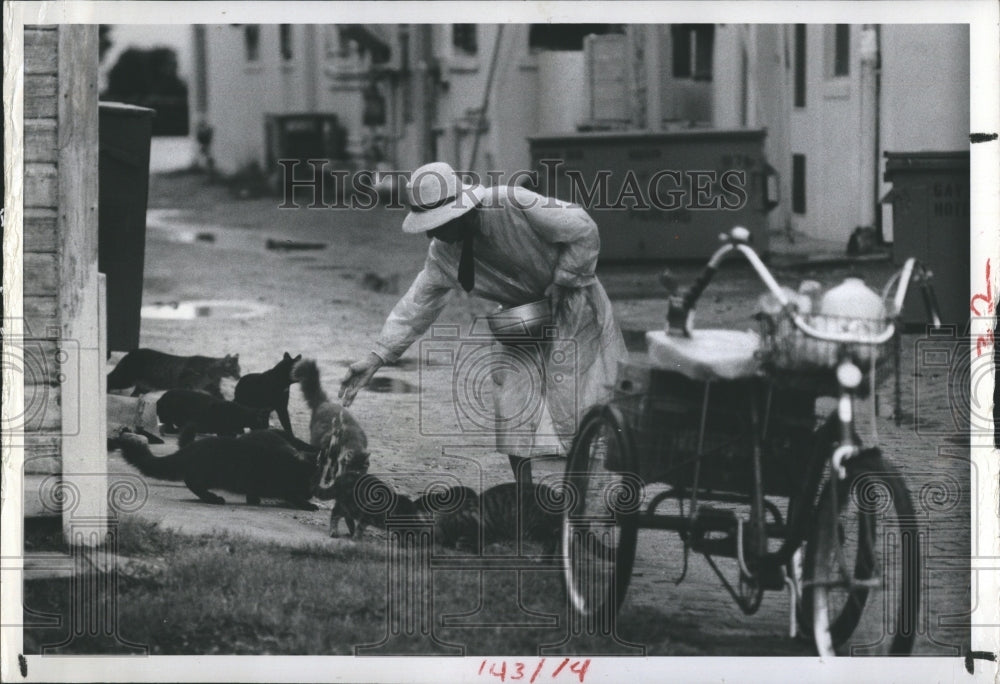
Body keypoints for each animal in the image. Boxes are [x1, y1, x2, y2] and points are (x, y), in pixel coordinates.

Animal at [106, 348, 239, 396]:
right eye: (234, 370)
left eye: (239, 370)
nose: (239, 377)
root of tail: (131, 352)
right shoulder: (186, 385)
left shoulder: (213, 388)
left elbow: (221, 397)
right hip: (124, 378)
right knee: (109, 378)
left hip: (143, 386)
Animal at [115, 428, 322, 508]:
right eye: (310, 481)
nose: (311, 494)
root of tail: (191, 448)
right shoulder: (285, 486)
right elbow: (293, 496)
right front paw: (308, 505)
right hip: (208, 473)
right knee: (192, 482)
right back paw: (213, 498)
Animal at [294, 358, 370, 496]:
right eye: (353, 472)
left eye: (361, 471)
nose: (356, 479)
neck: (353, 440)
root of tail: (324, 402)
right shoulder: (328, 452)